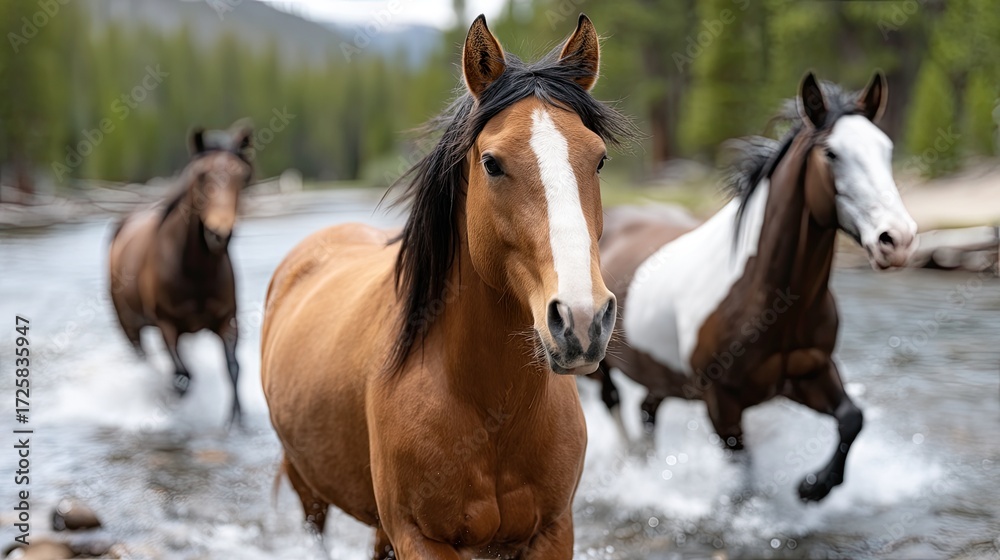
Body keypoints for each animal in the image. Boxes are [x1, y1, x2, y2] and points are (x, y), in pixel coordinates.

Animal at [109, 123, 253, 428]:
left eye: (241, 175)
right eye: (201, 175)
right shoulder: (167, 325)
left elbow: (233, 368)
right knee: (146, 361)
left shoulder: (227, 320)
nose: (218, 234)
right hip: (129, 327)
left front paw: (235, 421)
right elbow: (183, 375)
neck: (195, 273)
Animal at [261, 14, 633, 558]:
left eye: (600, 160)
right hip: (310, 491)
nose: (582, 319)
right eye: (492, 163)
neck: (489, 409)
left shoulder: (553, 530)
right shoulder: (421, 538)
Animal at [593, 72, 918, 502]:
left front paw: (813, 487)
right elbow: (743, 474)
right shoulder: (722, 405)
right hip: (596, 368)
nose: (897, 240)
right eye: (832, 154)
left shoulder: (811, 373)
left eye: (887, 150)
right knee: (613, 404)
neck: (767, 300)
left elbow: (852, 419)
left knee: (647, 410)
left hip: (660, 376)